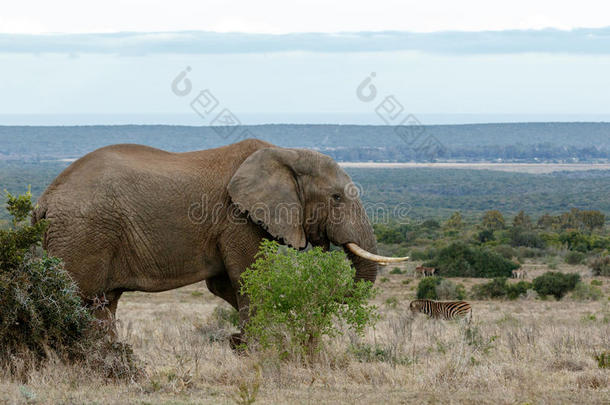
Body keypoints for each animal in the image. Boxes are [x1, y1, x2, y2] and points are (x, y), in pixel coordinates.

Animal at [32, 138, 404, 340]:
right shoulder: (237, 217)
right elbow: (250, 278)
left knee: (104, 303)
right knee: (81, 298)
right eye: (337, 198)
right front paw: (253, 348)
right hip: (83, 232)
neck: (284, 153)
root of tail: (45, 199)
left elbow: (226, 286)